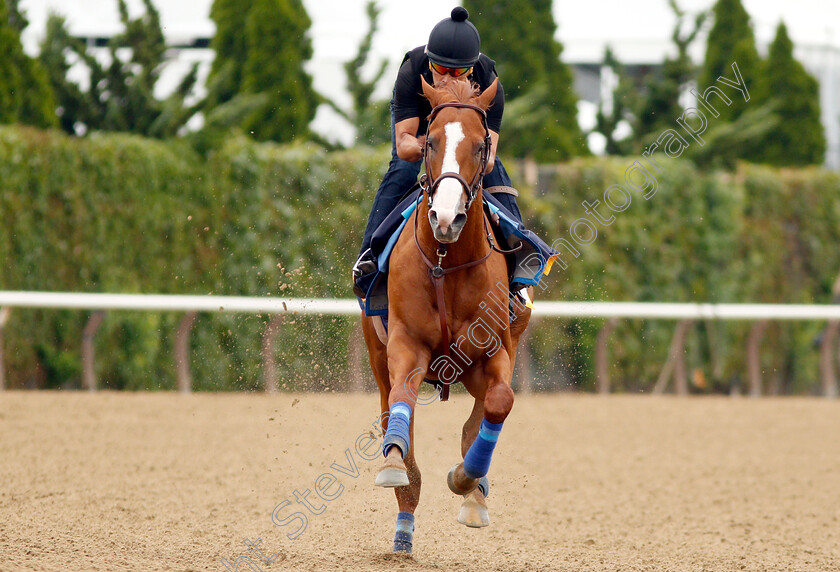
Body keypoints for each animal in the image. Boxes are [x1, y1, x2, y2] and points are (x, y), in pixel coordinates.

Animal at [360, 77, 532, 556]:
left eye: (480, 144)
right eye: (431, 141)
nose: (446, 217)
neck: (445, 260)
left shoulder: (491, 353)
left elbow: (498, 402)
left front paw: (467, 480)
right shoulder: (406, 345)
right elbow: (403, 396)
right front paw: (394, 462)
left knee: (479, 417)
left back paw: (475, 493)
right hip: (377, 356)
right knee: (392, 410)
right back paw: (402, 529)